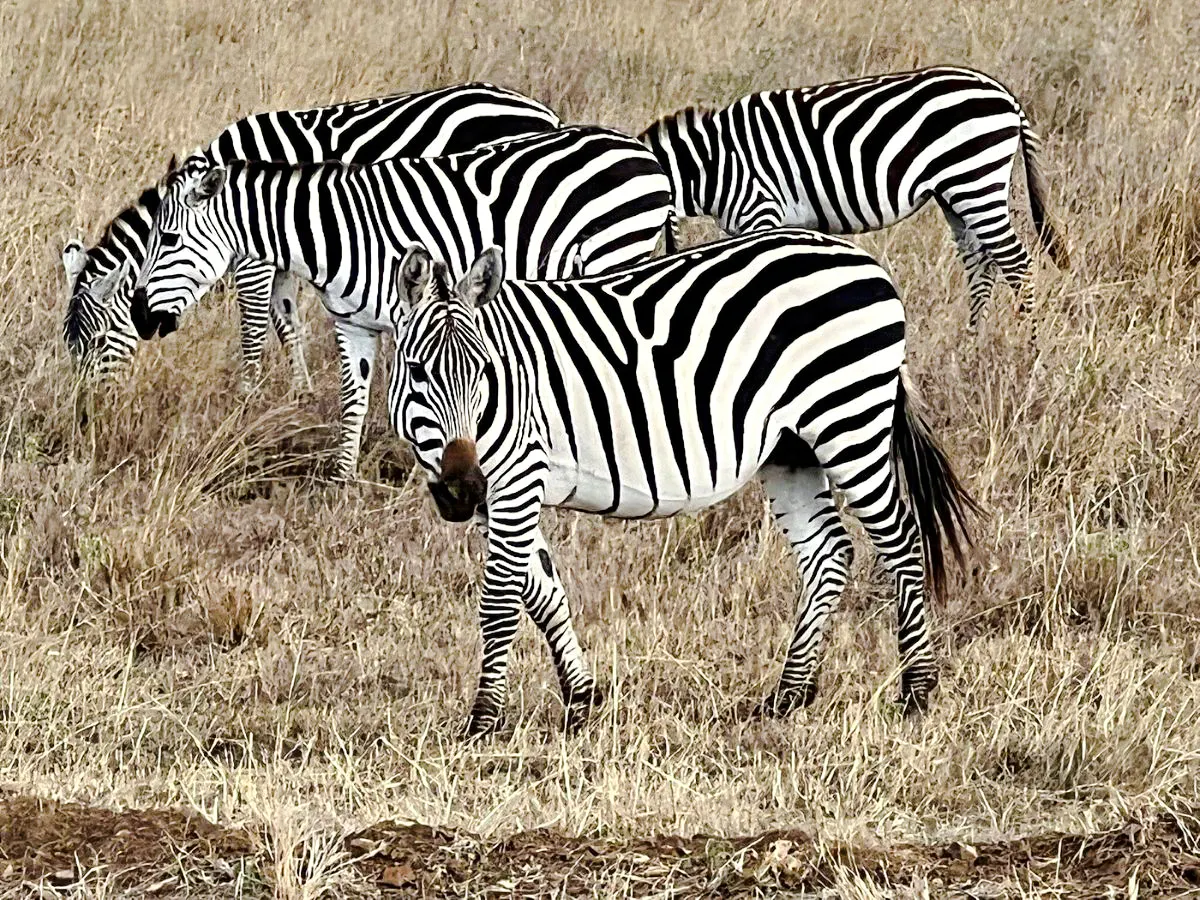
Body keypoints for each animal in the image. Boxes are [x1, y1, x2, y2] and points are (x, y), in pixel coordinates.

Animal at [62, 82, 561, 384]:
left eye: (96, 344)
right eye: (72, 350)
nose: (90, 416)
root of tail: (541, 111)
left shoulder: (254, 259)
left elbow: (253, 329)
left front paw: (246, 396)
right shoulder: (282, 258)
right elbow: (288, 325)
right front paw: (298, 394)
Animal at [131, 126, 673, 479]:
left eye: (169, 238)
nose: (140, 315)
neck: (338, 233)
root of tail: (643, 153)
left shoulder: (420, 312)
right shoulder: (352, 322)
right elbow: (354, 397)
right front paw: (342, 478)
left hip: (615, 252)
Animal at [386, 229, 978, 738]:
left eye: (484, 371)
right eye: (416, 371)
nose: (462, 489)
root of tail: (860, 258)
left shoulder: (516, 477)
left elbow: (501, 603)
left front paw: (483, 723)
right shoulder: (500, 494)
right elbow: (544, 593)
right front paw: (581, 701)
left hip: (848, 418)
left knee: (902, 542)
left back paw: (916, 691)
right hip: (791, 449)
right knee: (828, 553)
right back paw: (788, 696)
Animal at [639, 66, 1070, 330]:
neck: (713, 163)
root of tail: (1005, 96)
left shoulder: (762, 211)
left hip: (974, 178)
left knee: (1018, 265)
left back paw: (1029, 352)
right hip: (957, 193)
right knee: (981, 265)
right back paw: (973, 345)